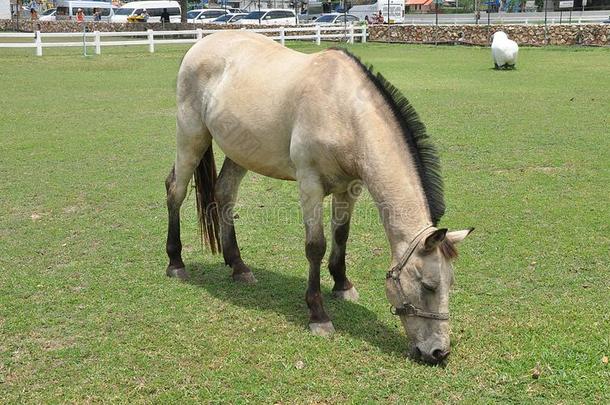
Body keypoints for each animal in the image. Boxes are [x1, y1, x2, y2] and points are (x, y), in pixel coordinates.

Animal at [164, 30, 472, 362]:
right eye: (428, 286)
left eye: (450, 283)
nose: (439, 352)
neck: (343, 110)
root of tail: (200, 44)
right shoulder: (309, 184)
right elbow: (316, 246)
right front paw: (318, 315)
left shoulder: (349, 187)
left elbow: (341, 236)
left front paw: (342, 284)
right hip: (191, 137)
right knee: (175, 192)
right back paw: (176, 263)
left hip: (240, 152)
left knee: (224, 193)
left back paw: (239, 266)